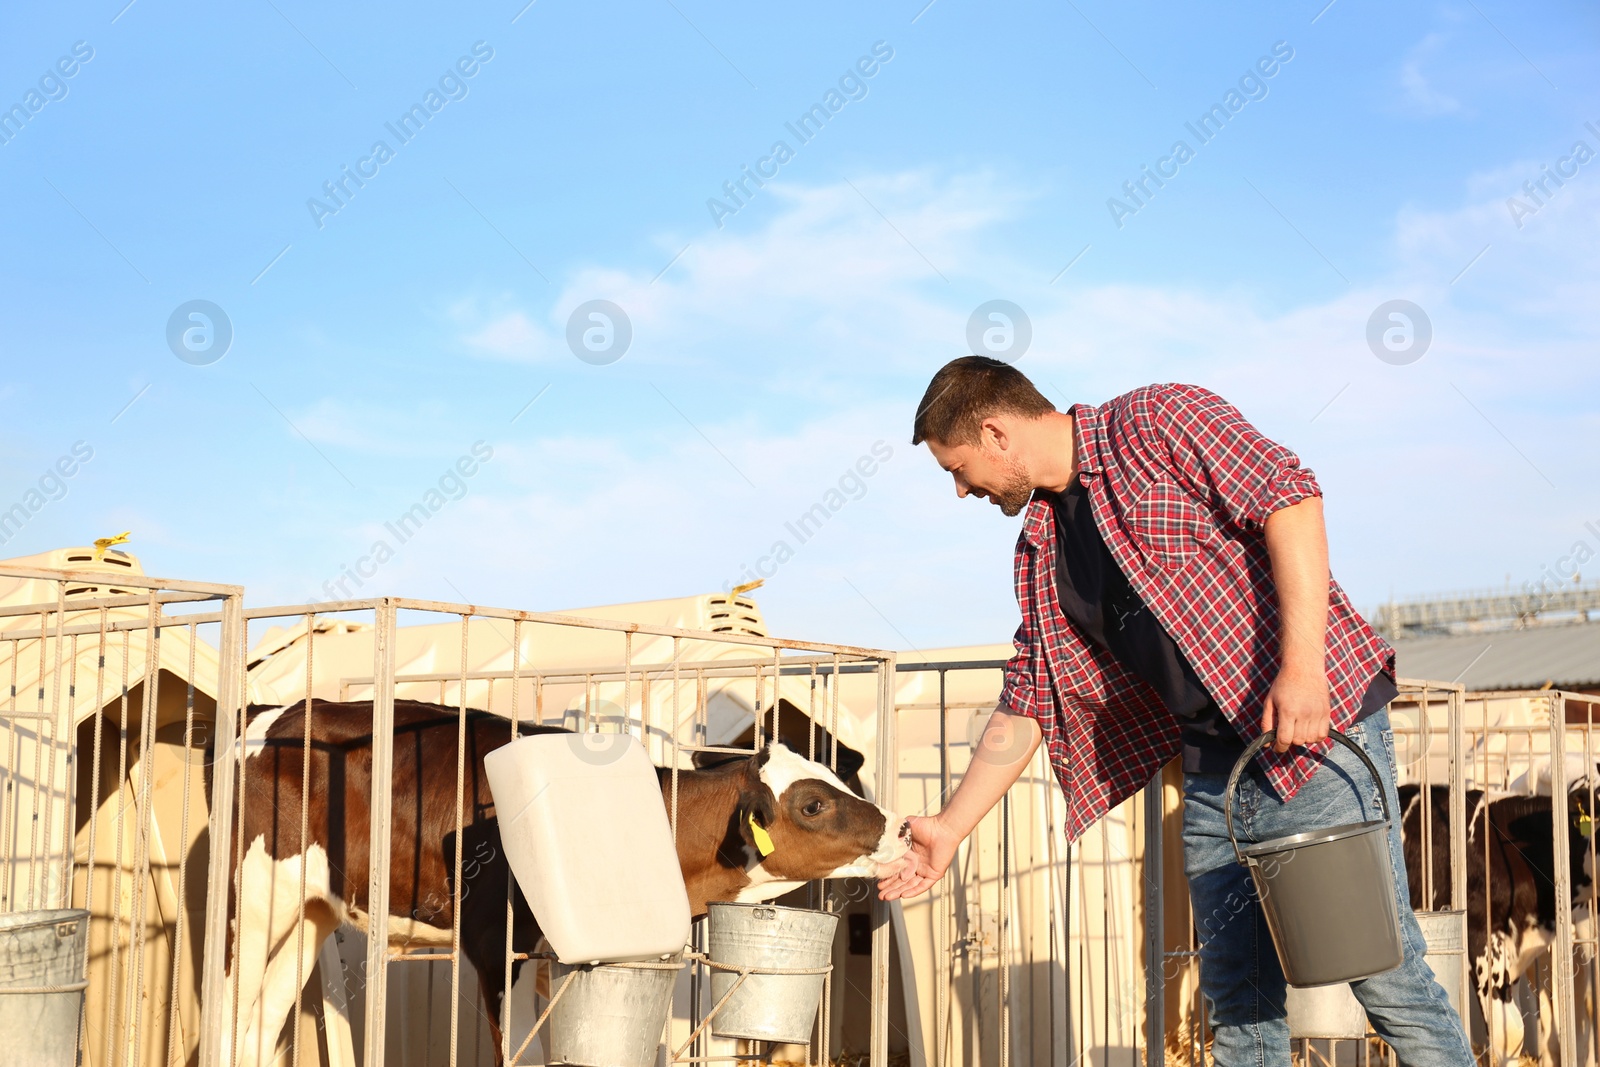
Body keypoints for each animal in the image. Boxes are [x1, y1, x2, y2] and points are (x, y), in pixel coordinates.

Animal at [219, 700, 908, 1067]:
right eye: (814, 804)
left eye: (842, 778)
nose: (903, 829)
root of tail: (281, 711)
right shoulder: (496, 945)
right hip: (251, 902)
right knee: (233, 1011)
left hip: (312, 910)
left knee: (263, 1019)